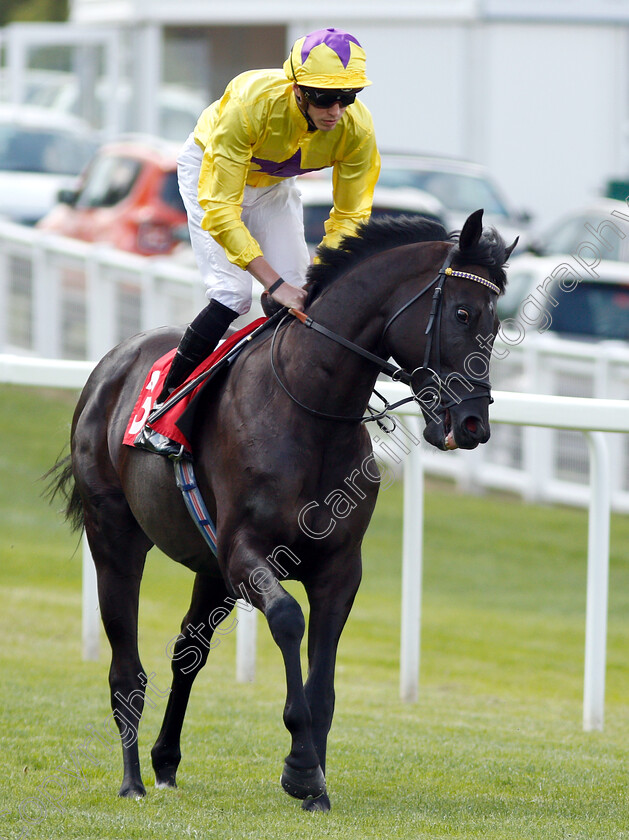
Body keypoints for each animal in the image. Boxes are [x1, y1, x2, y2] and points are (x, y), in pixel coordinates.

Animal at [51, 207, 516, 812]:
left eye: (496, 324)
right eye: (463, 313)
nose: (473, 424)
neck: (310, 411)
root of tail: (111, 363)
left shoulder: (338, 567)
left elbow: (324, 676)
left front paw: (315, 779)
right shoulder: (246, 553)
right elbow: (289, 621)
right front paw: (300, 768)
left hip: (210, 569)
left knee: (188, 650)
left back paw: (165, 761)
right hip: (115, 536)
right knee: (126, 668)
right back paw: (131, 779)